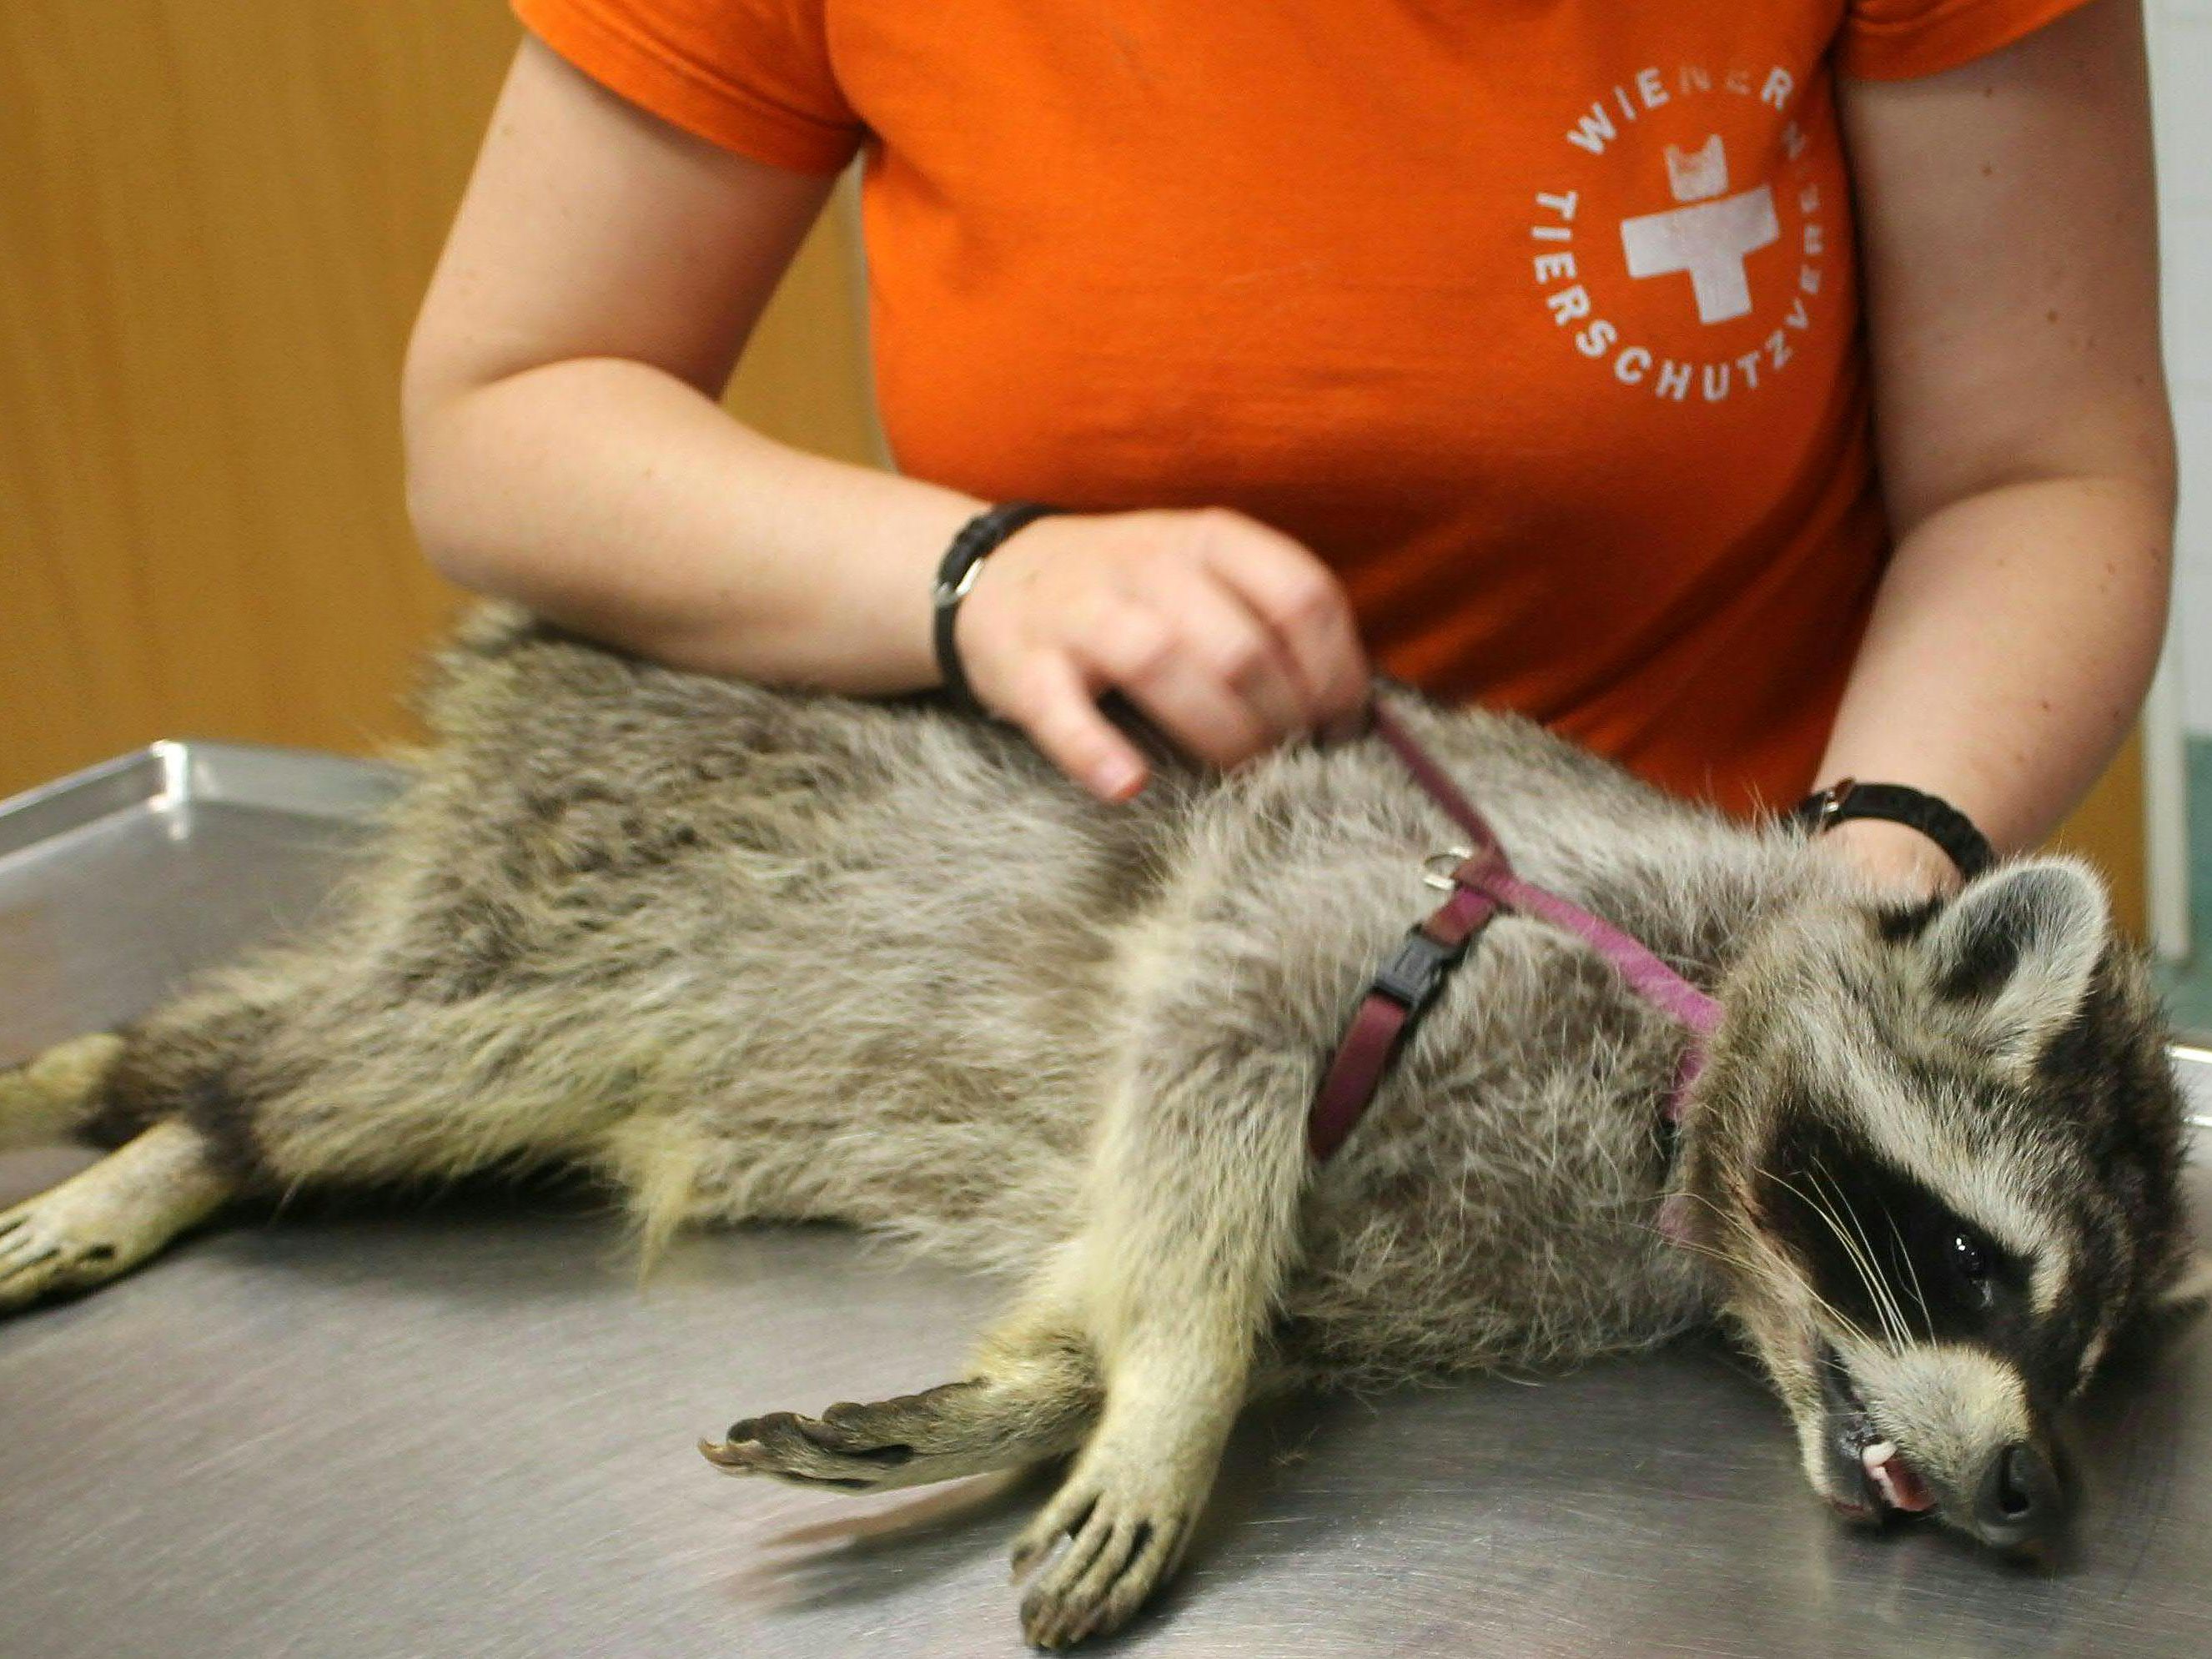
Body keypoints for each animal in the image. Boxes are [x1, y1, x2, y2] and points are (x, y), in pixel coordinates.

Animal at [0, 610, 2203, 1654]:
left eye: (2082, 1351)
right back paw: (155, 1125)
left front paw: (1054, 1385)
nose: (2033, 1489)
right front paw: (1171, 1404)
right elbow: (1200, 1079)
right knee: (349, 1057)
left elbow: (1140, 1253)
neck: (1679, 1070)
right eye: (1968, 1260)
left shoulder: (1425, 1230)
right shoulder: (1323, 905)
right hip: (592, 870)